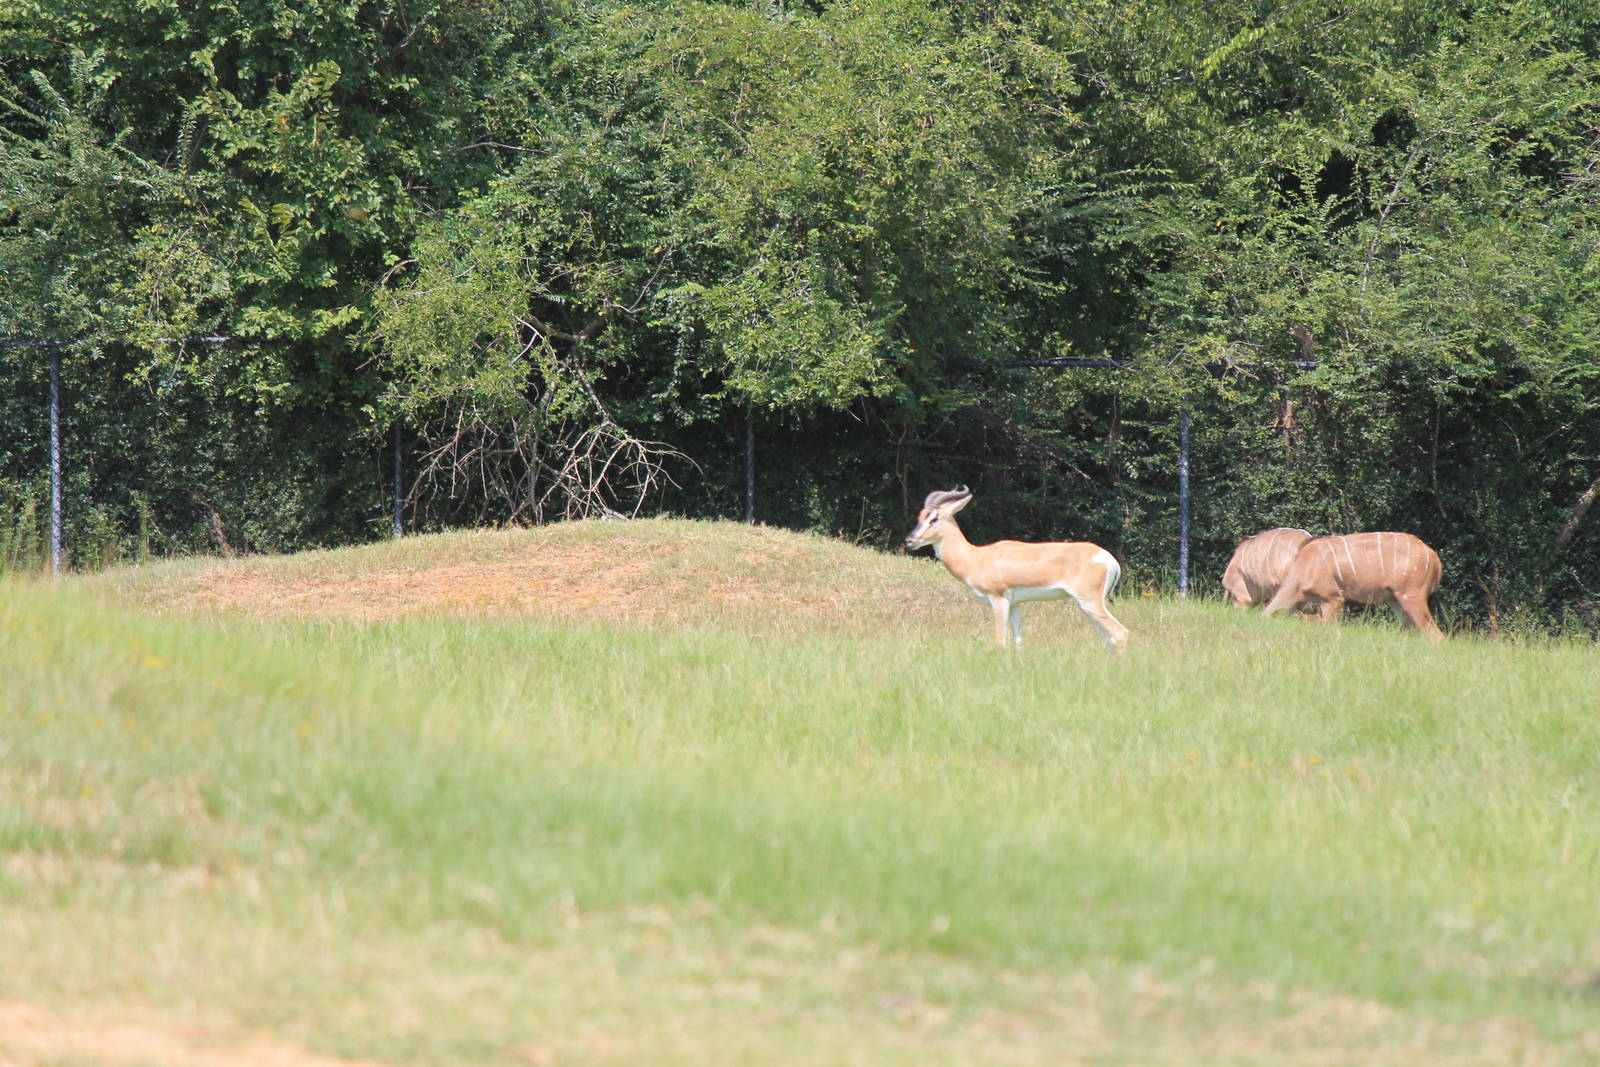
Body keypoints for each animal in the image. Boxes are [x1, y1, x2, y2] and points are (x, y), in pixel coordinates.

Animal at [903, 486, 1129, 652]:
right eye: (920, 516)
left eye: (934, 518)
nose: (909, 541)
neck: (976, 558)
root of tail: (1110, 559)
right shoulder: (1015, 604)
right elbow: (1019, 642)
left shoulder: (998, 600)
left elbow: (1000, 642)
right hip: (1086, 606)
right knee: (1108, 639)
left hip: (1090, 602)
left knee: (1120, 633)